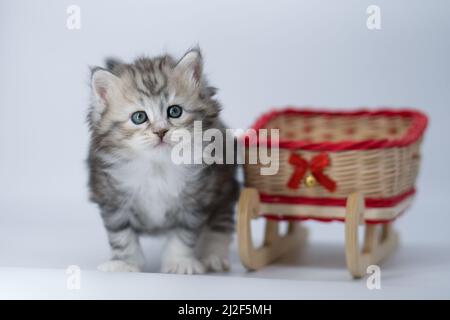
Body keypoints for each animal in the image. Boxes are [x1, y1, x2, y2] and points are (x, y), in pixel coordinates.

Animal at [87, 48, 239, 274]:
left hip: (225, 187)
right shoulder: (112, 197)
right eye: (139, 117)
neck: (157, 166)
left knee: (221, 223)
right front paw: (124, 263)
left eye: (174, 111)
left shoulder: (195, 197)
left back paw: (214, 257)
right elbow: (122, 236)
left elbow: (183, 235)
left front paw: (180, 262)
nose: (160, 132)